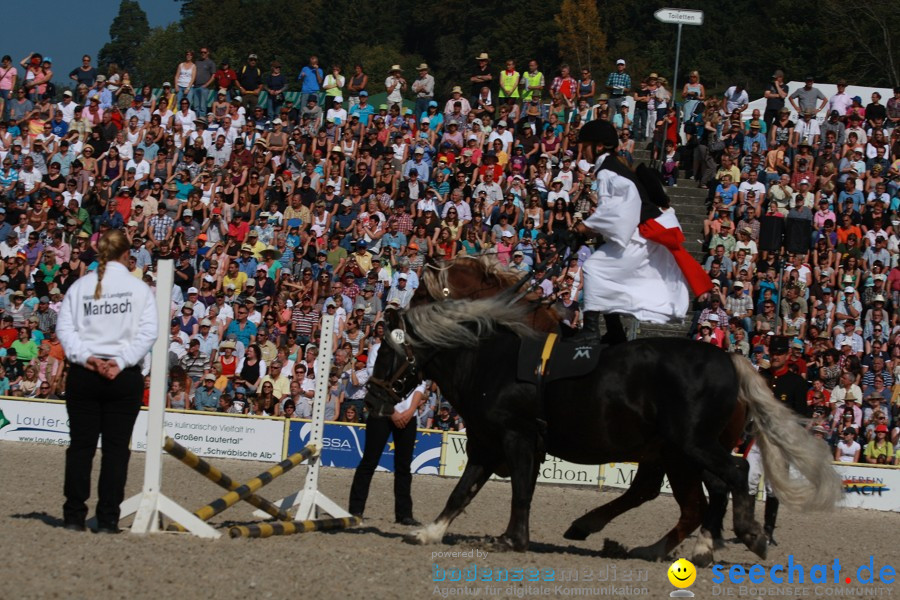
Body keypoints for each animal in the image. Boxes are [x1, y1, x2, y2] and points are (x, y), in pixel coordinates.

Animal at [364, 298, 836, 564]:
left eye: (386, 351)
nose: (371, 399)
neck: (490, 362)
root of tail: (730, 359)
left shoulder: (519, 439)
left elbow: (519, 491)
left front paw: (513, 539)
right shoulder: (484, 445)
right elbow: (462, 492)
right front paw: (429, 532)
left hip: (692, 446)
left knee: (731, 477)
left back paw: (735, 538)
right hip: (676, 454)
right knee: (690, 502)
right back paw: (650, 545)